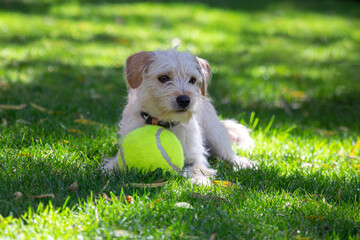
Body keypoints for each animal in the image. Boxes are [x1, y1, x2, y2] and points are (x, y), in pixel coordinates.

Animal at [102, 48, 255, 184]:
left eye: (192, 80)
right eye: (163, 78)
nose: (185, 100)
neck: (164, 122)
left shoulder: (196, 155)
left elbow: (198, 167)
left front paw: (199, 180)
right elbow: (112, 165)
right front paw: (108, 172)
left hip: (216, 135)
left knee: (229, 154)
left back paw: (243, 162)